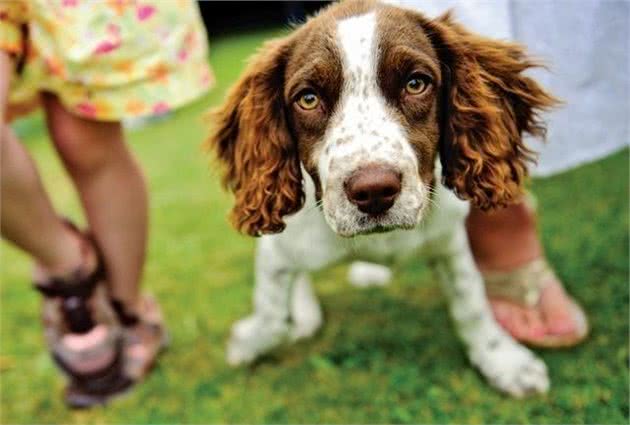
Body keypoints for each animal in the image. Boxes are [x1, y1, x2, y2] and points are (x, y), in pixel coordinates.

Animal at [209, 0, 556, 398]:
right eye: (308, 99)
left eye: (416, 83)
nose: (373, 190)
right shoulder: (281, 247)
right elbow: (271, 314)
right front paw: (248, 342)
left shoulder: (448, 239)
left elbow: (471, 301)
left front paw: (504, 362)